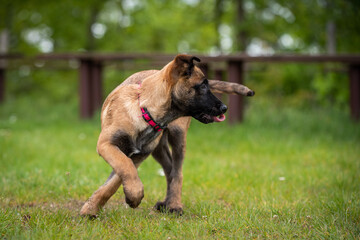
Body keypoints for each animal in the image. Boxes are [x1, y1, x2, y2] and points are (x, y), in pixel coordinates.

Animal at [80, 55, 255, 217]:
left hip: (178, 137)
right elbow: (122, 170)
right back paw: (167, 202)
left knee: (177, 173)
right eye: (203, 86)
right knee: (169, 169)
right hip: (158, 148)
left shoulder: (138, 155)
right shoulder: (107, 144)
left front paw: (131, 197)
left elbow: (120, 175)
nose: (224, 108)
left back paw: (174, 205)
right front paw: (92, 207)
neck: (144, 109)